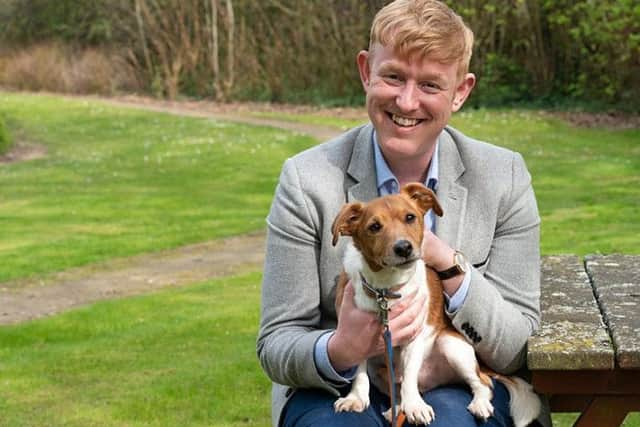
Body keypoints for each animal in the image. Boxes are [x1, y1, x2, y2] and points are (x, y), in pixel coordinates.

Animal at [330, 183, 540, 427]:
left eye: (410, 217)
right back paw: (395, 408)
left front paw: (414, 406)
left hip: (452, 345)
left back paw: (478, 403)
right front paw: (356, 398)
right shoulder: (356, 337)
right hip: (382, 371)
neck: (385, 289)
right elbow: (359, 371)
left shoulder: (416, 334)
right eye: (374, 227)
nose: (403, 247)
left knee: (483, 383)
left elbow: (409, 372)